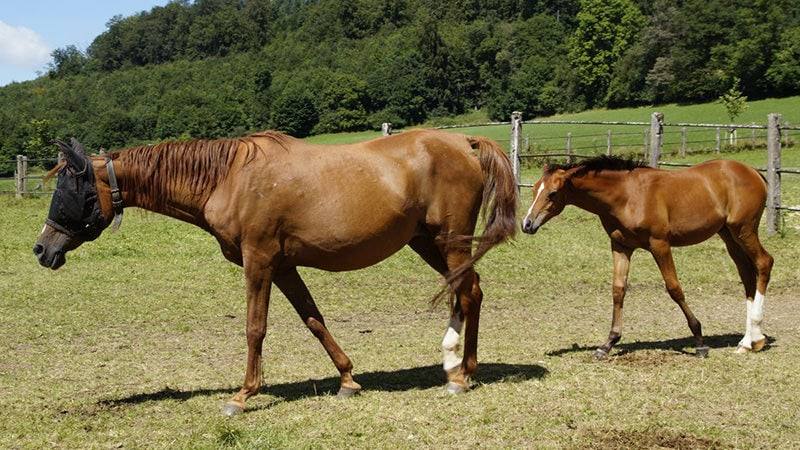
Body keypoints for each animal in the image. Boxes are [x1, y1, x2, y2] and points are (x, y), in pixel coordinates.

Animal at [33, 130, 518, 415]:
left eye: (70, 189)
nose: (42, 249)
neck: (228, 178)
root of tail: (466, 142)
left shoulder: (260, 262)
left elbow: (255, 328)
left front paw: (242, 395)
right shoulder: (284, 267)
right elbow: (313, 320)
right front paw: (347, 379)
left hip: (450, 241)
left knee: (467, 294)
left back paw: (460, 374)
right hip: (428, 242)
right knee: (471, 290)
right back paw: (459, 364)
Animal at [520, 155, 773, 359]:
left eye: (552, 193)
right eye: (534, 190)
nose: (527, 224)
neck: (626, 195)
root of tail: (754, 172)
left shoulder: (659, 244)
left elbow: (674, 288)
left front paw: (700, 341)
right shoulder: (621, 246)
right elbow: (618, 290)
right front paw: (608, 344)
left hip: (744, 230)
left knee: (764, 263)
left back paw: (755, 337)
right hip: (728, 235)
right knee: (747, 275)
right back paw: (748, 342)